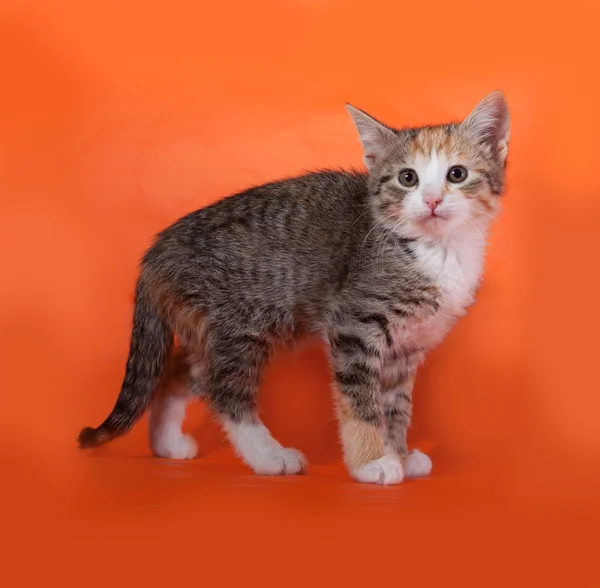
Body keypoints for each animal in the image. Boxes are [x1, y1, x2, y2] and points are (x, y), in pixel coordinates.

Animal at [78, 92, 510, 484]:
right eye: (408, 178)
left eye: (457, 174)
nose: (433, 200)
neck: (437, 250)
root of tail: (155, 252)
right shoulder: (354, 325)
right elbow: (362, 401)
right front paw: (371, 462)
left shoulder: (408, 346)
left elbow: (395, 407)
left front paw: (398, 454)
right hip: (239, 321)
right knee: (222, 388)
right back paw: (269, 457)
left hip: (207, 327)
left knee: (178, 374)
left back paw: (167, 444)